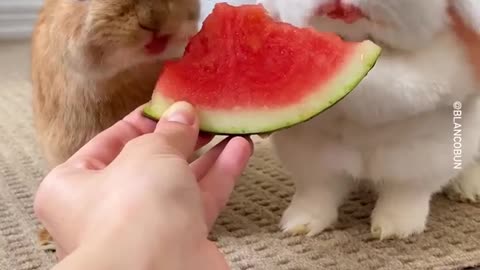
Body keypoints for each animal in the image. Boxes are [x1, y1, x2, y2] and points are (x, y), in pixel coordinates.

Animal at [256, 0, 480, 240]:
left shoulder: (421, 156)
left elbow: (405, 194)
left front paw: (393, 230)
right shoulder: (312, 159)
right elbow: (316, 193)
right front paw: (299, 224)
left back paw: (468, 189)